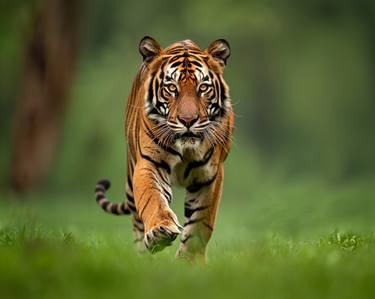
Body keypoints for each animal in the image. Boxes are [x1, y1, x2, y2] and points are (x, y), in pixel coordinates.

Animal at [94, 35, 235, 262]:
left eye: (203, 88)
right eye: (171, 88)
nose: (188, 120)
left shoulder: (210, 176)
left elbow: (200, 225)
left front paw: (189, 261)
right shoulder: (149, 164)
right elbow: (153, 199)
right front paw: (159, 233)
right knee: (136, 220)